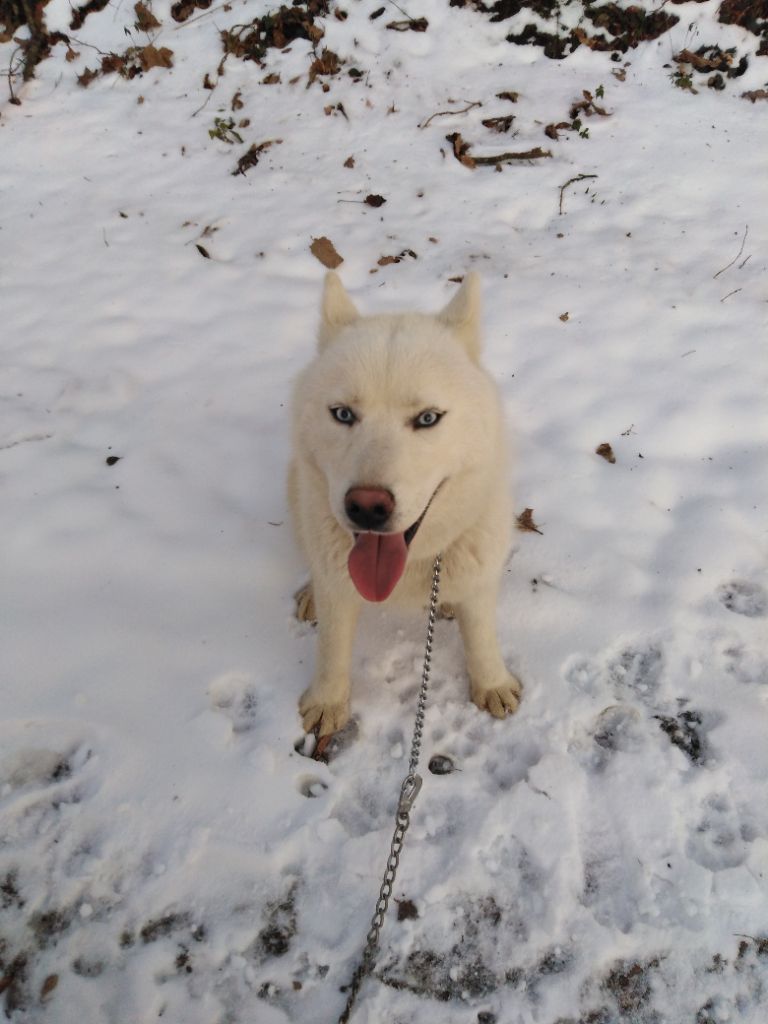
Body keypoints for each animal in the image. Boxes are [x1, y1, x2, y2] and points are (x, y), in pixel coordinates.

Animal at [288, 272, 524, 737]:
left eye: (428, 418)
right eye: (343, 414)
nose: (366, 507)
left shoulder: (479, 577)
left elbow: (481, 637)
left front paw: (492, 682)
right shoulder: (339, 591)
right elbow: (332, 647)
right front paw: (328, 701)